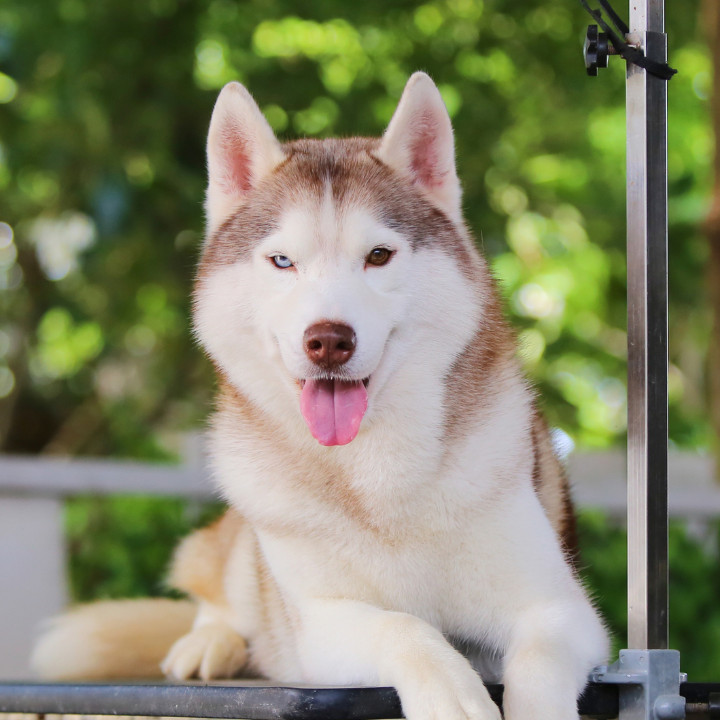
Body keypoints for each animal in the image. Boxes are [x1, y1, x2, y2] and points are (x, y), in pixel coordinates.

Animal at [33, 73, 608, 720]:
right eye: (283, 260)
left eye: (378, 255)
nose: (328, 340)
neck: (378, 482)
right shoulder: (318, 627)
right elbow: (404, 628)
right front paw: (450, 692)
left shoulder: (561, 612)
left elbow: (536, 668)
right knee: (219, 594)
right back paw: (210, 642)